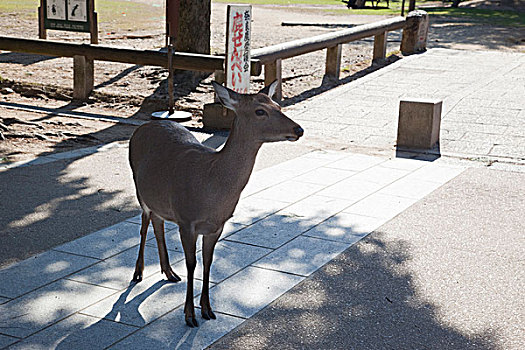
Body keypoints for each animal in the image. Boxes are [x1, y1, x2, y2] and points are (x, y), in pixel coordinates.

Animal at [126, 80, 302, 326]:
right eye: (260, 111)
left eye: (278, 105)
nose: (299, 129)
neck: (211, 187)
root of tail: (141, 128)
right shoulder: (186, 220)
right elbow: (192, 264)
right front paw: (190, 315)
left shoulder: (216, 226)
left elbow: (208, 262)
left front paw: (208, 309)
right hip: (139, 189)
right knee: (144, 226)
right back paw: (138, 273)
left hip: (158, 200)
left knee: (157, 223)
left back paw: (169, 273)